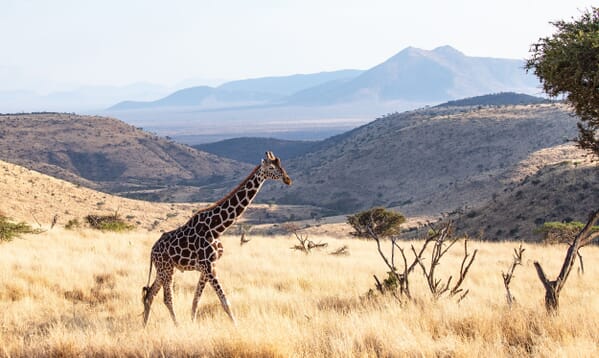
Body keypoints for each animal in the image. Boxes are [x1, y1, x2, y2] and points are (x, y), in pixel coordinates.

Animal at [141, 150, 290, 326]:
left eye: (281, 165)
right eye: (272, 167)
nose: (287, 179)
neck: (216, 228)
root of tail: (152, 250)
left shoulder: (209, 267)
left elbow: (196, 300)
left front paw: (193, 323)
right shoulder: (208, 266)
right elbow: (225, 301)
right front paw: (236, 327)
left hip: (164, 269)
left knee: (150, 293)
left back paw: (144, 326)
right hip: (166, 269)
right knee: (166, 298)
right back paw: (176, 326)